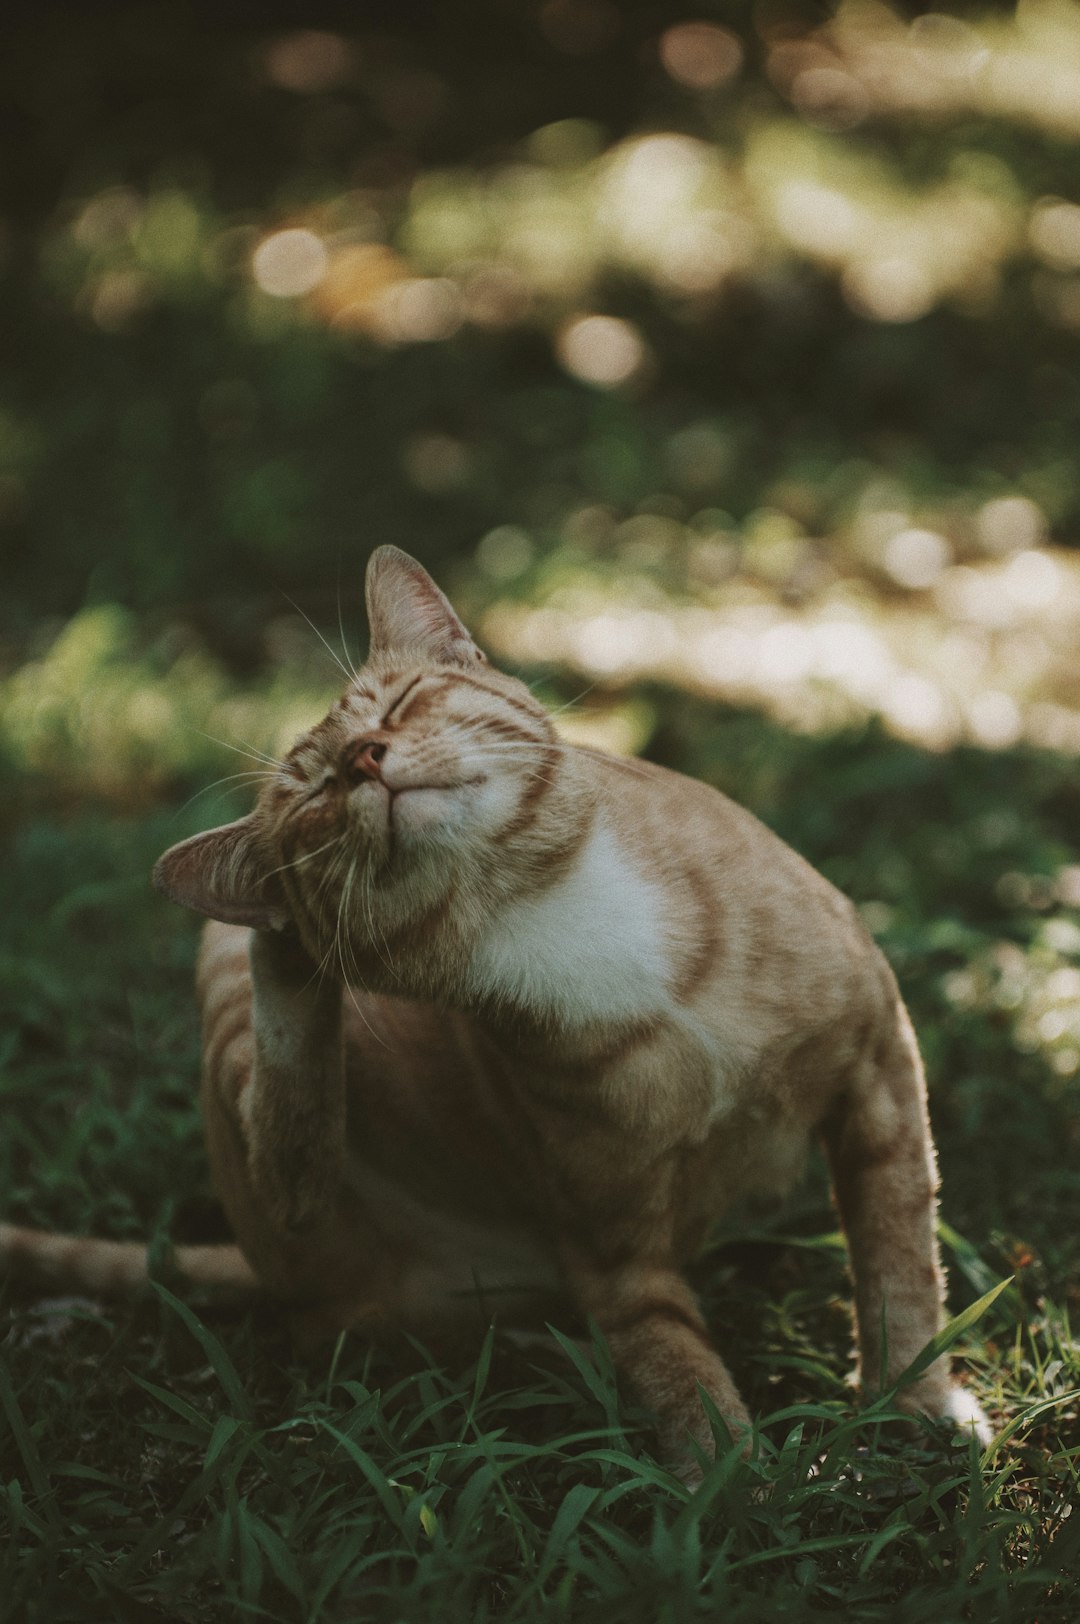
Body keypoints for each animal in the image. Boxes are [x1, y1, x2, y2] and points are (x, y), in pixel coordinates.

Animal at [4, 545, 987, 1474]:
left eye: (400, 703)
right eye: (313, 797)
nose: (363, 760)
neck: (543, 908)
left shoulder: (879, 1069)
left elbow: (899, 1261)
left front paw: (913, 1404)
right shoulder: (614, 1250)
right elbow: (674, 1363)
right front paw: (730, 1482)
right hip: (256, 1085)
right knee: (294, 1154)